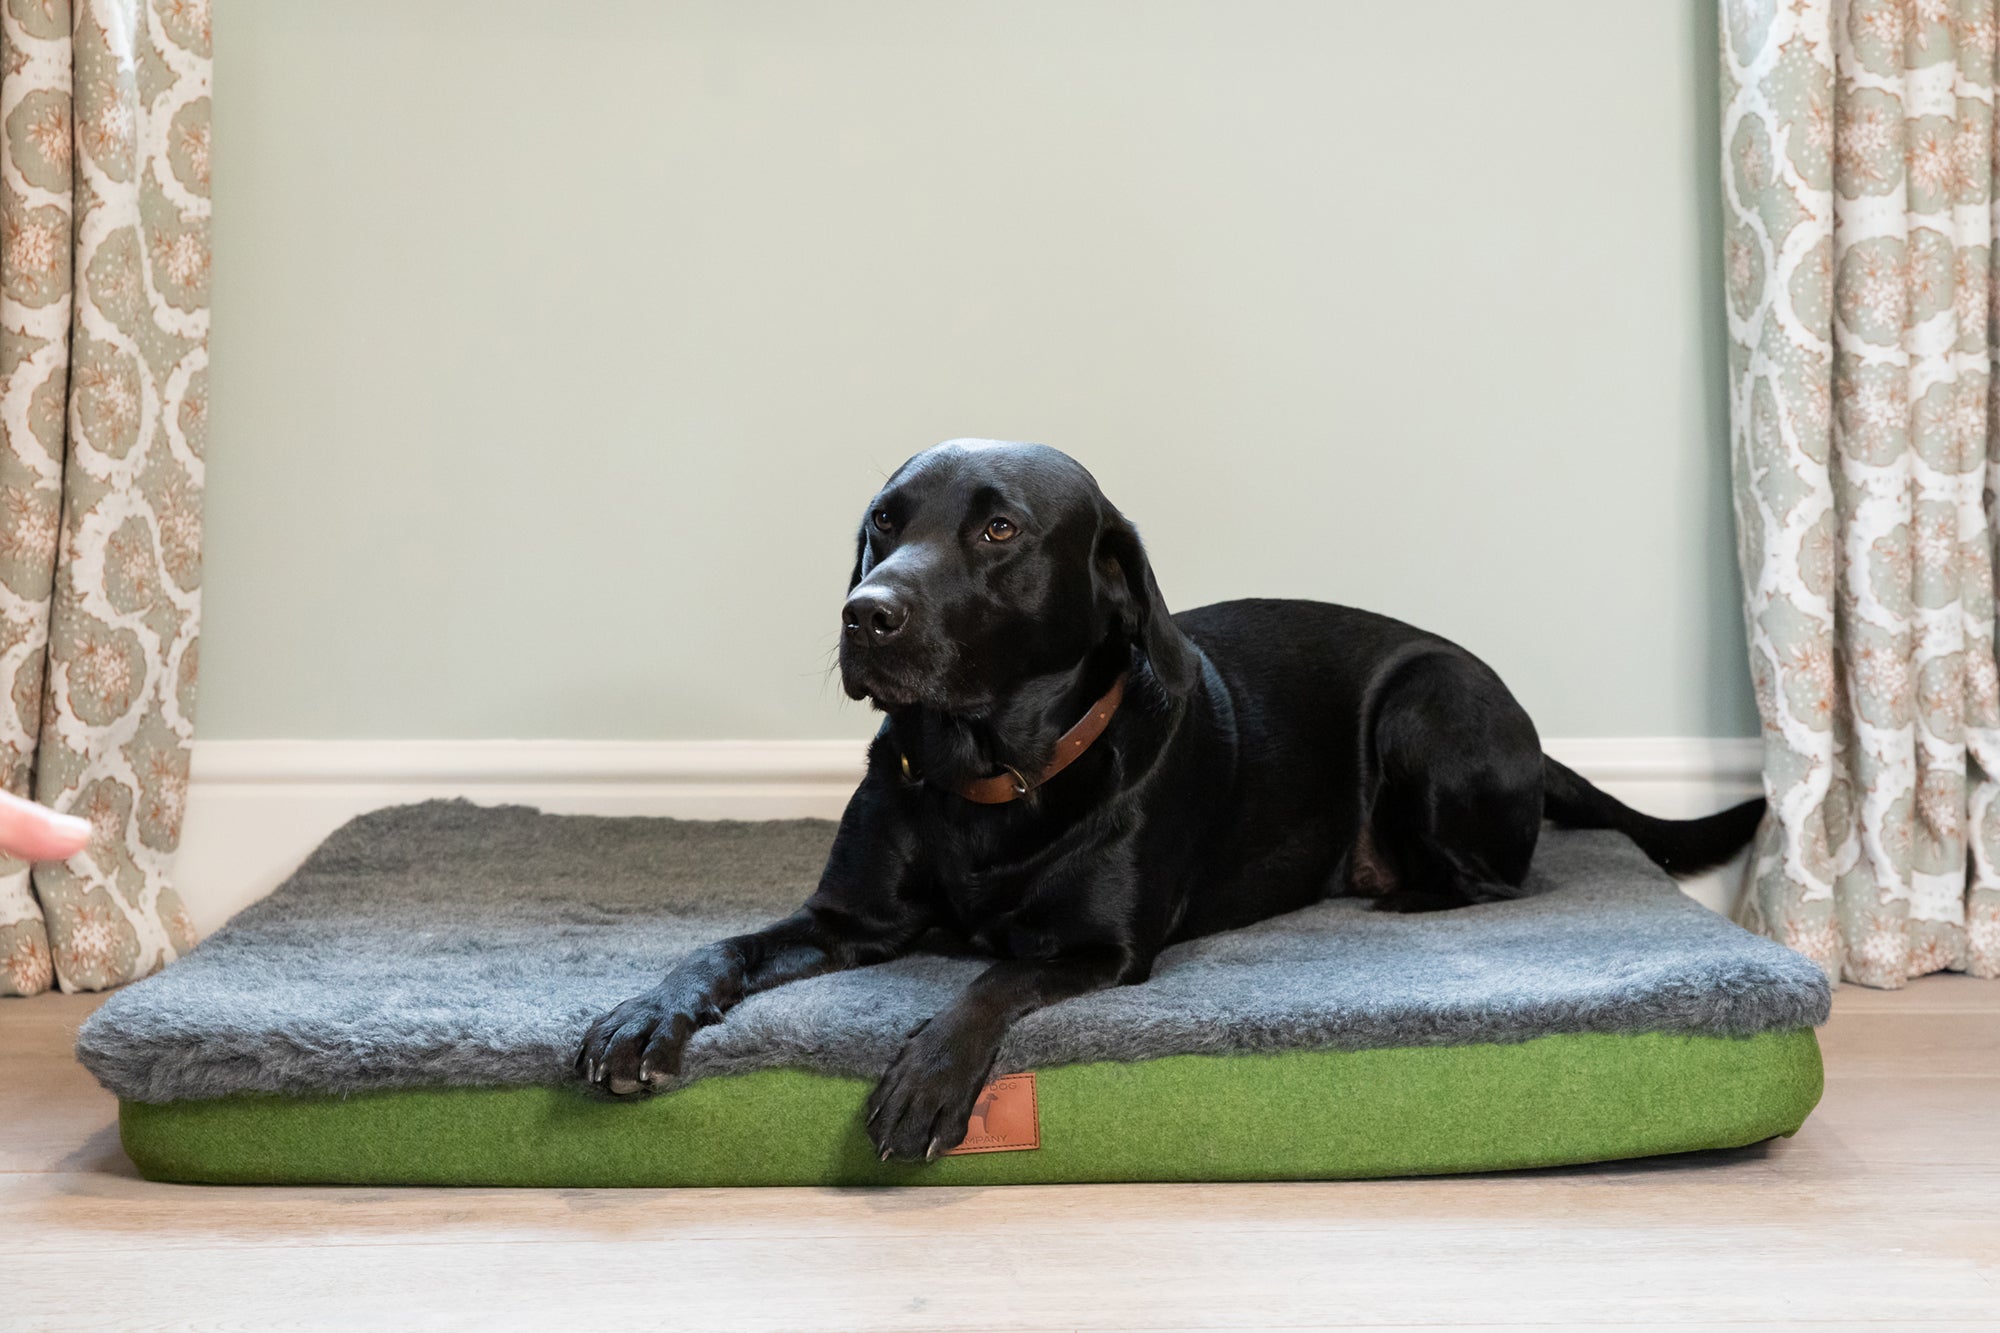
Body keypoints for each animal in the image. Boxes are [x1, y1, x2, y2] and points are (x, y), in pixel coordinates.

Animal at [572, 440, 1760, 1160]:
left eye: (997, 531)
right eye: (881, 521)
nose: (864, 612)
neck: (988, 782)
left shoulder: (1101, 948)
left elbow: (989, 981)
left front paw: (925, 1077)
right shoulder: (844, 918)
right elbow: (719, 947)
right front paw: (641, 1015)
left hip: (1427, 703)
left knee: (1496, 879)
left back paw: (1398, 889)